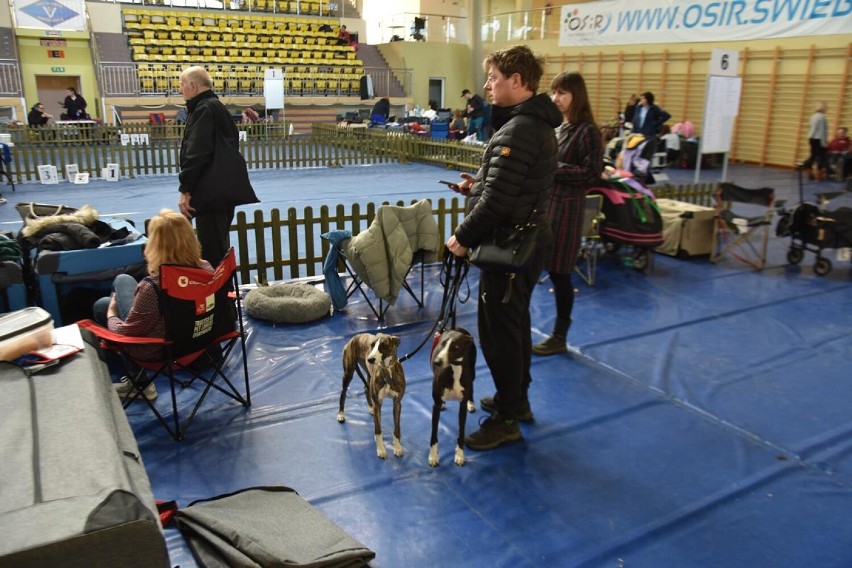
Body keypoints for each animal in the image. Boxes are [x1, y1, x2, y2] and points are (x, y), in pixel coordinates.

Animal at [430, 328, 476, 466]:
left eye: (455, 348)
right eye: (442, 344)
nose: (437, 362)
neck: (454, 368)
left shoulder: (462, 406)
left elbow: (461, 432)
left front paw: (459, 455)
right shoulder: (435, 405)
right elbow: (434, 432)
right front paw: (433, 456)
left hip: (473, 370)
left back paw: (471, 403)